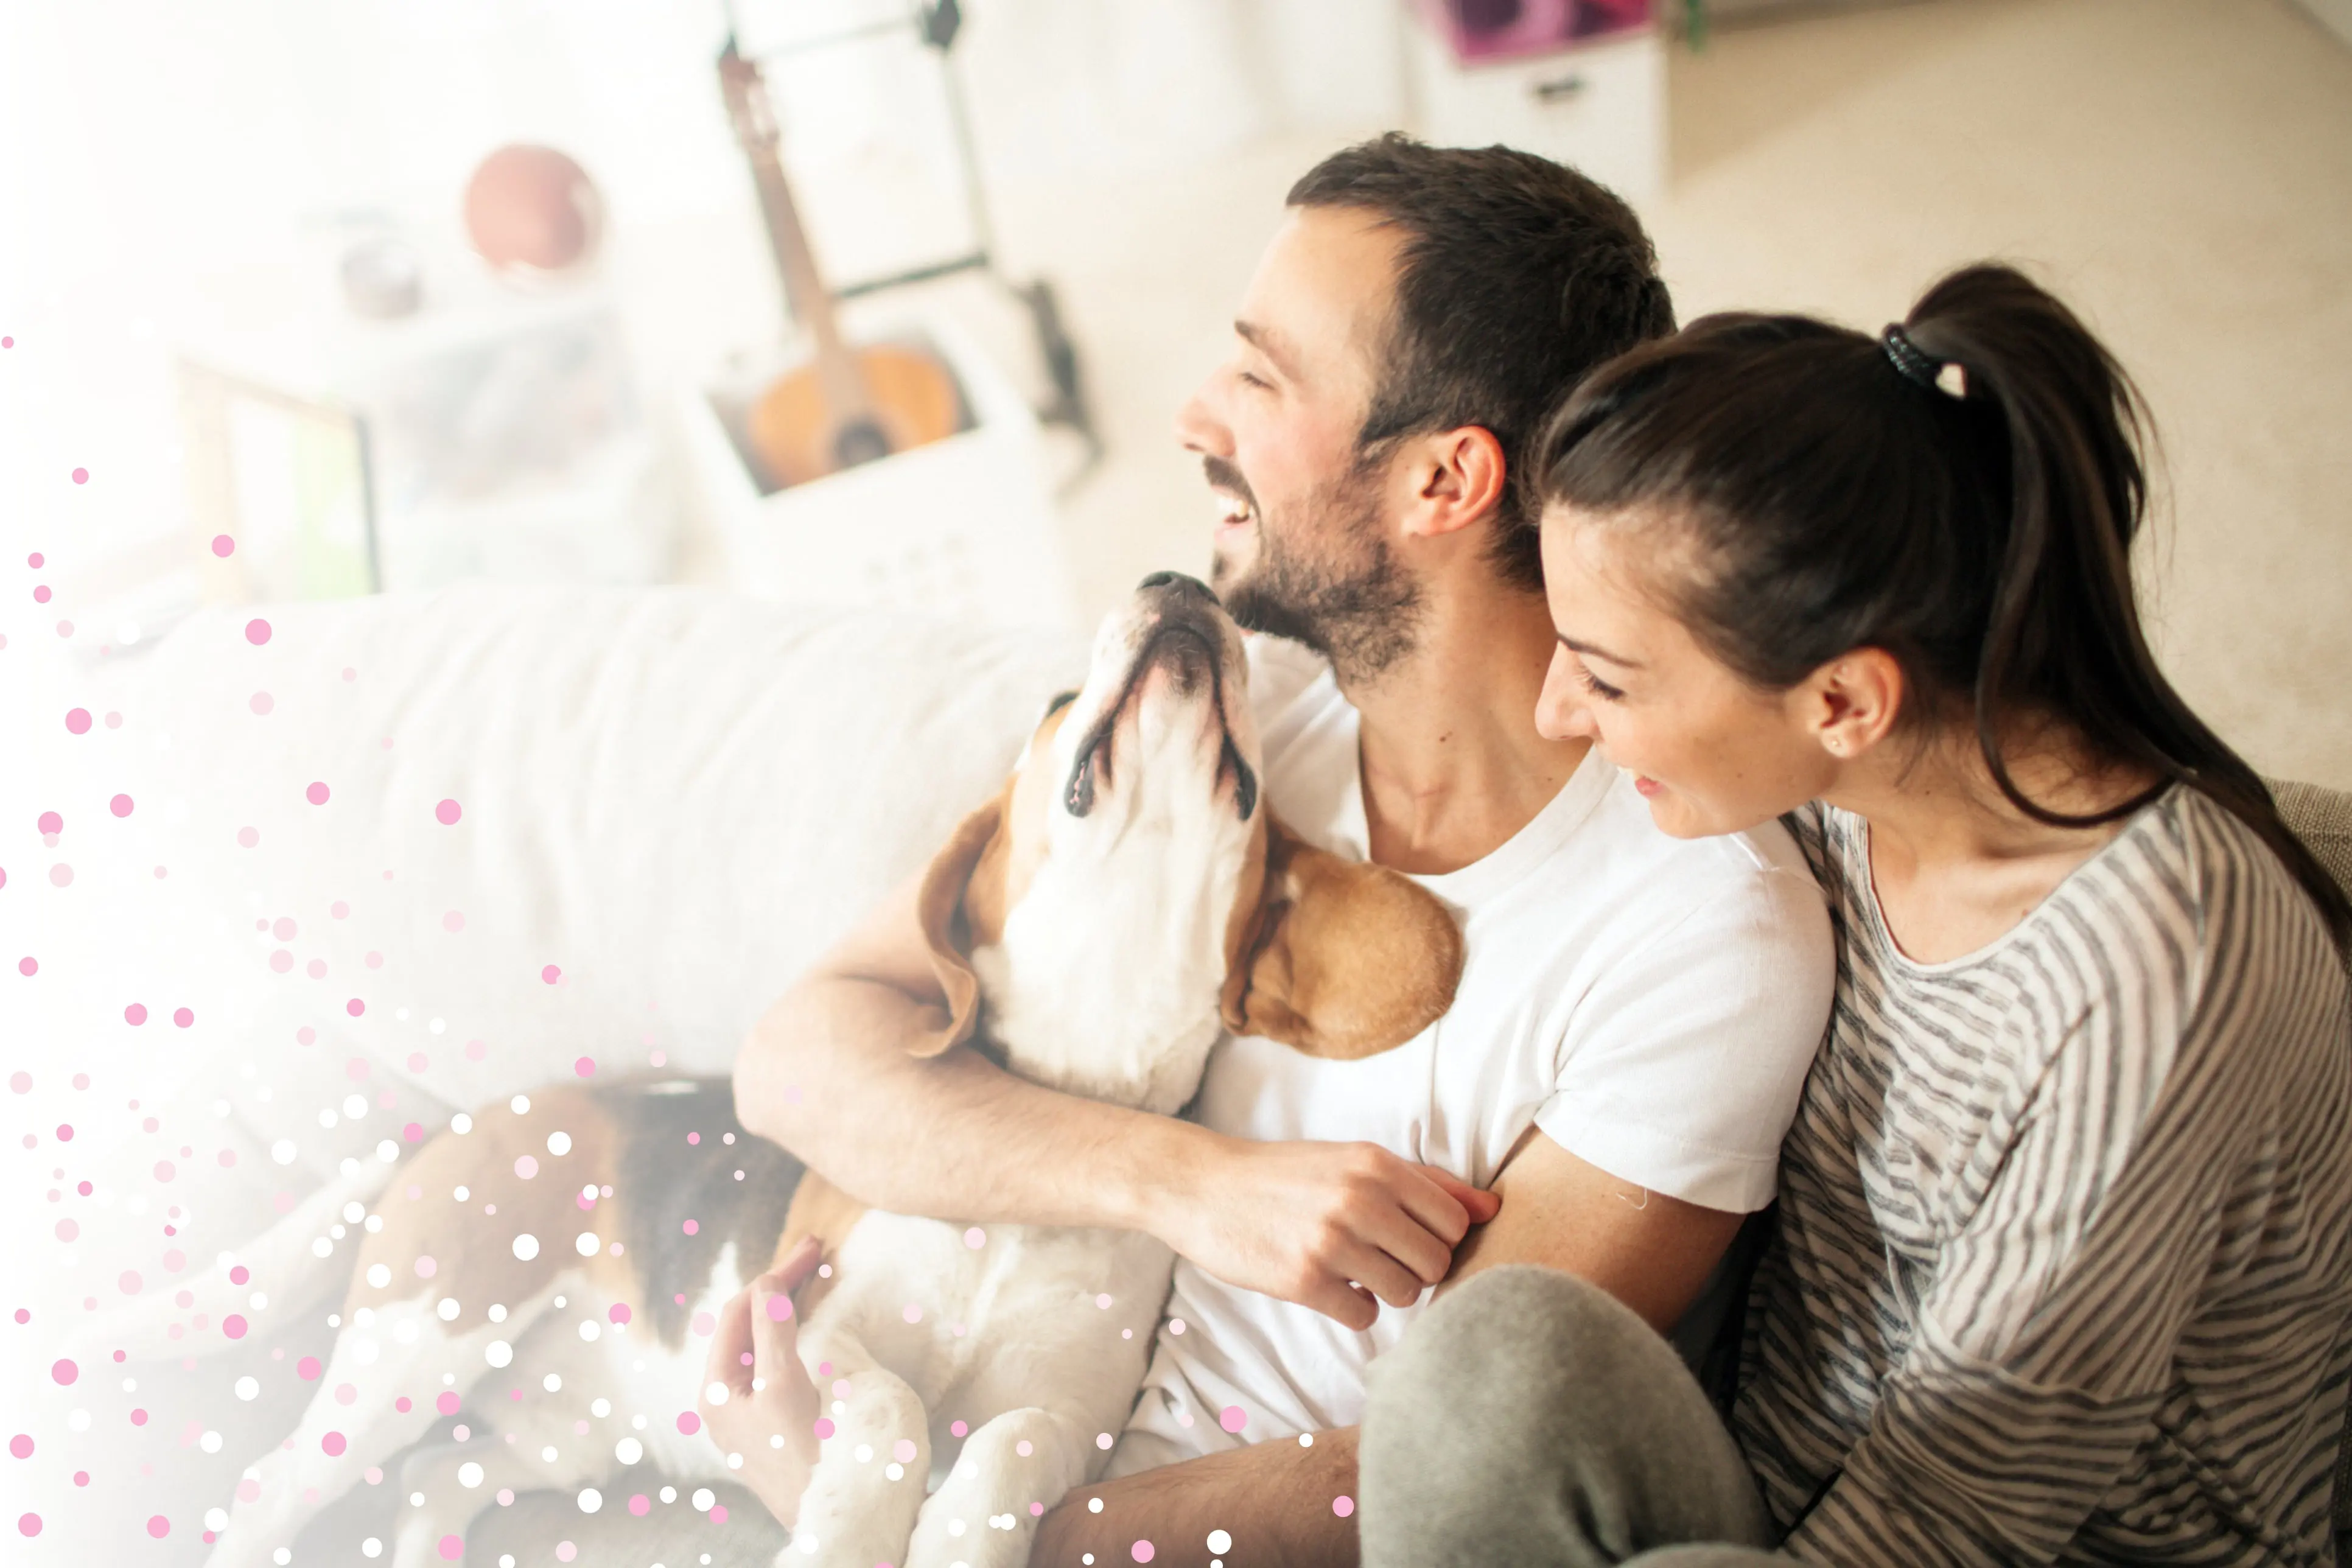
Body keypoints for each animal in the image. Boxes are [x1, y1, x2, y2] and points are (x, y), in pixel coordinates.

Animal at [124, 576, 1468, 1568]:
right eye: (1056, 698)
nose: (1180, 582)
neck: (1048, 1125)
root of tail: (487, 1113)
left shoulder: (1076, 1422)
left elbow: (1008, 1439)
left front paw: (960, 1539)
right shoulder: (806, 1322)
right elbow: (886, 1414)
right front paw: (851, 1530)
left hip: (555, 1433)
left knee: (437, 1481)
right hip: (425, 1336)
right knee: (274, 1482)